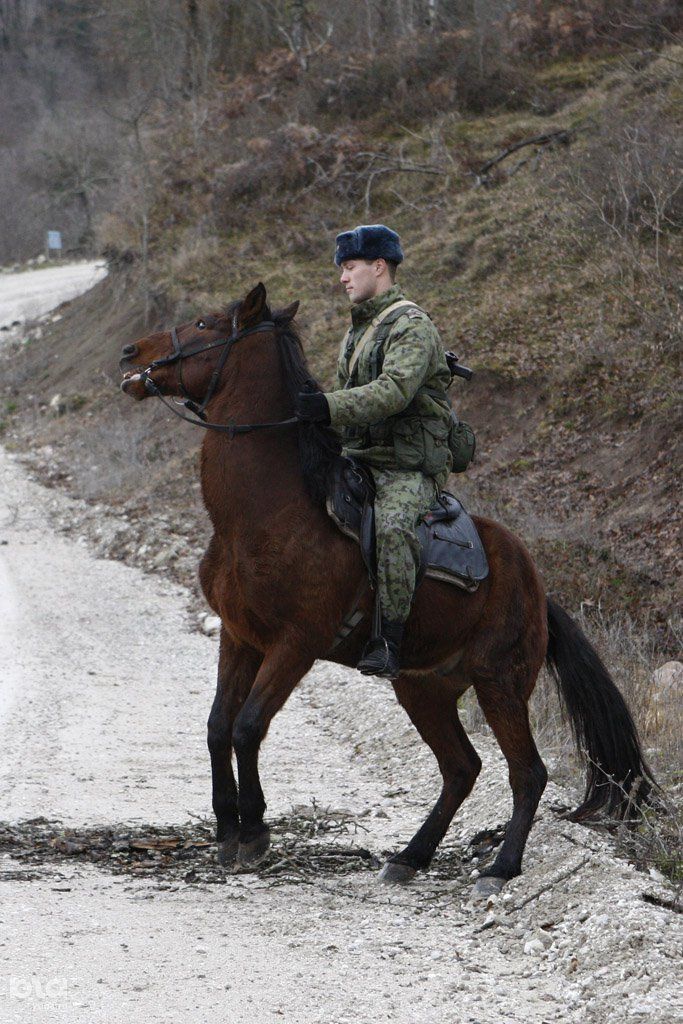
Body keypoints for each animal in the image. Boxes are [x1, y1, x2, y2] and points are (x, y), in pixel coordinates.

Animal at [119, 282, 655, 895]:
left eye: (206, 323)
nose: (132, 352)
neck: (266, 511)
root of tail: (537, 589)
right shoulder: (240, 637)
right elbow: (216, 728)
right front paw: (228, 831)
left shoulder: (296, 644)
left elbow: (249, 726)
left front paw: (252, 832)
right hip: (423, 688)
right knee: (462, 768)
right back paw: (411, 856)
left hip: (500, 683)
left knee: (527, 773)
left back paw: (500, 867)